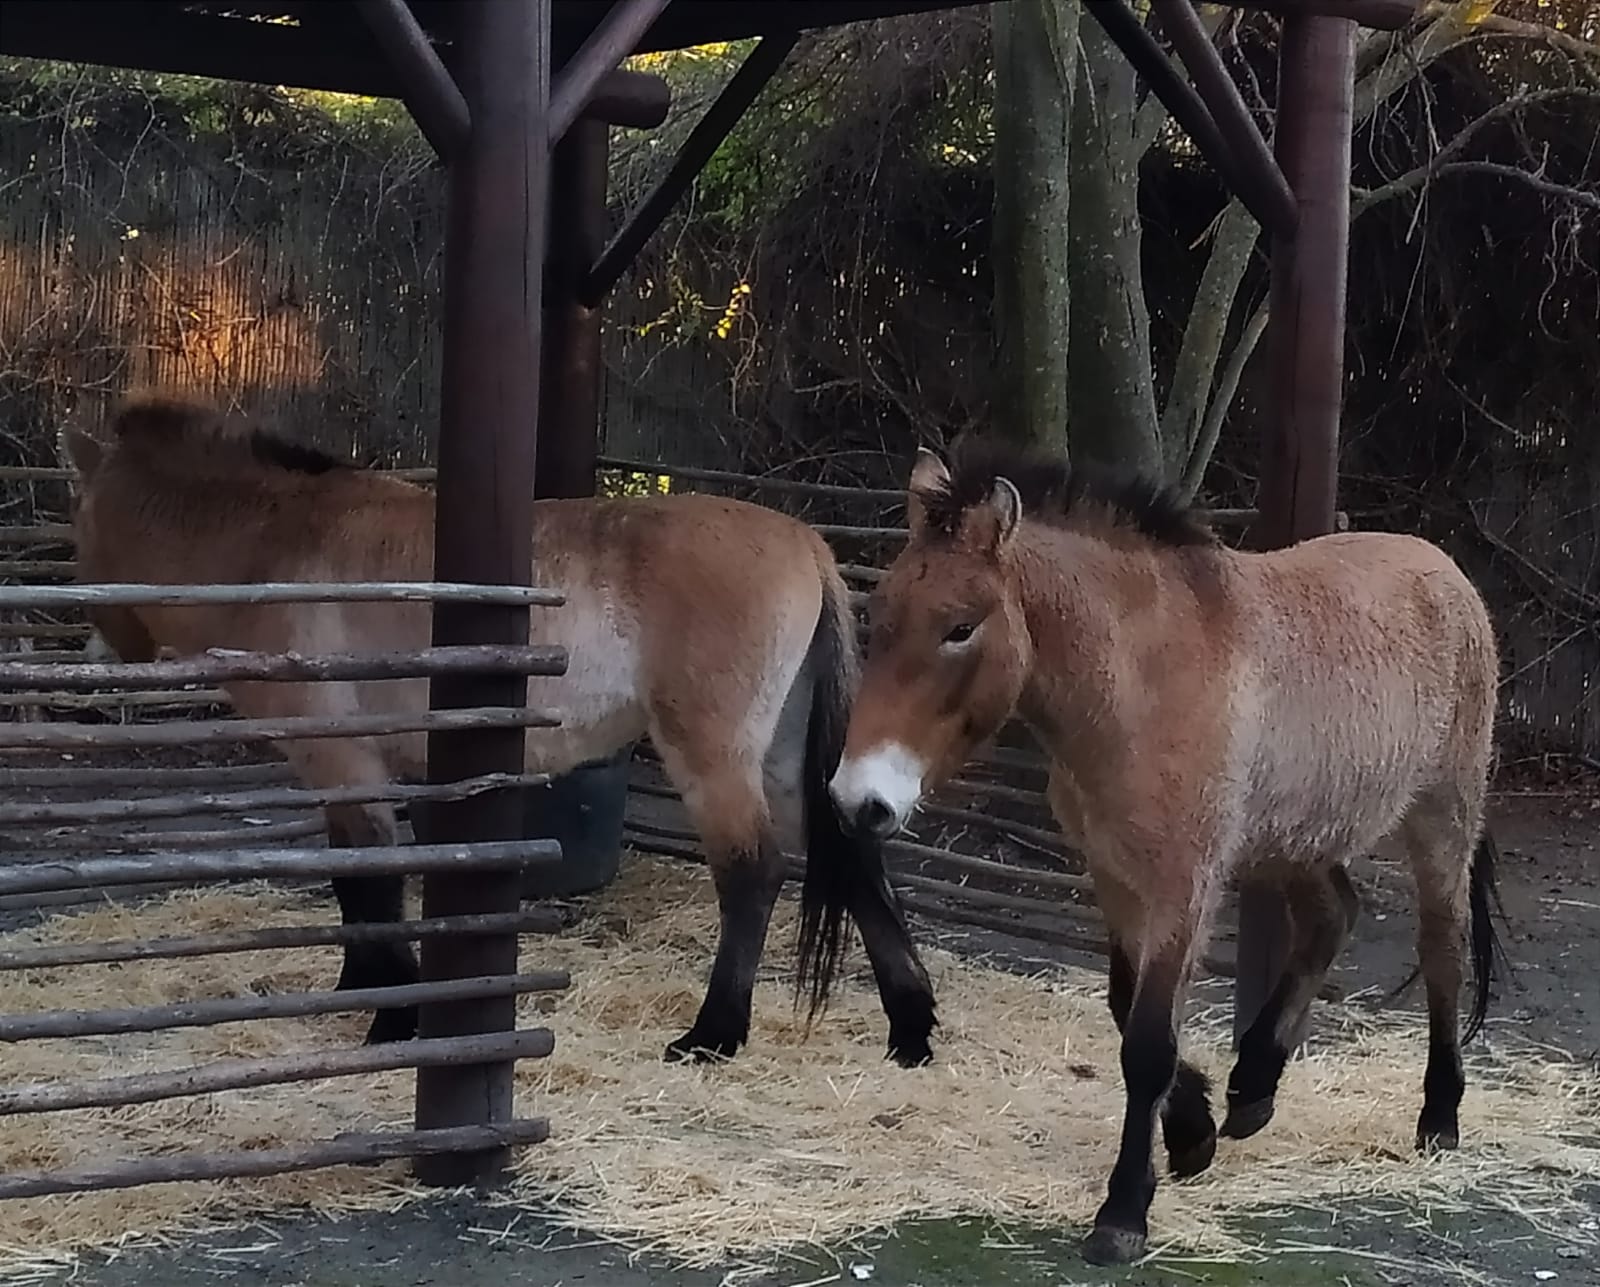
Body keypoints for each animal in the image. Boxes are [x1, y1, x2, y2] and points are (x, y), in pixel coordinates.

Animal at [63, 393, 937, 1067]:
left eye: (81, 538)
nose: (97, 655)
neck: (275, 544)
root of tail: (808, 542)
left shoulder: (345, 761)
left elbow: (372, 882)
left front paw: (394, 1014)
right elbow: (353, 885)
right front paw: (361, 989)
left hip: (716, 757)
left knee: (753, 874)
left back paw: (714, 1034)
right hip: (785, 758)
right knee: (854, 852)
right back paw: (911, 1027)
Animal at [805, 437, 1504, 1265]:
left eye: (961, 626)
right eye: (880, 615)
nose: (858, 799)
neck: (1141, 682)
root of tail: (1447, 570)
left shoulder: (1183, 885)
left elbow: (1146, 1043)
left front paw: (1124, 1211)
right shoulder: (1114, 875)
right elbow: (1123, 1005)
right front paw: (1195, 1130)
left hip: (1439, 821)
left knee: (1442, 951)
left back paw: (1439, 1115)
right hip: (1295, 839)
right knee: (1334, 914)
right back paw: (1254, 1085)